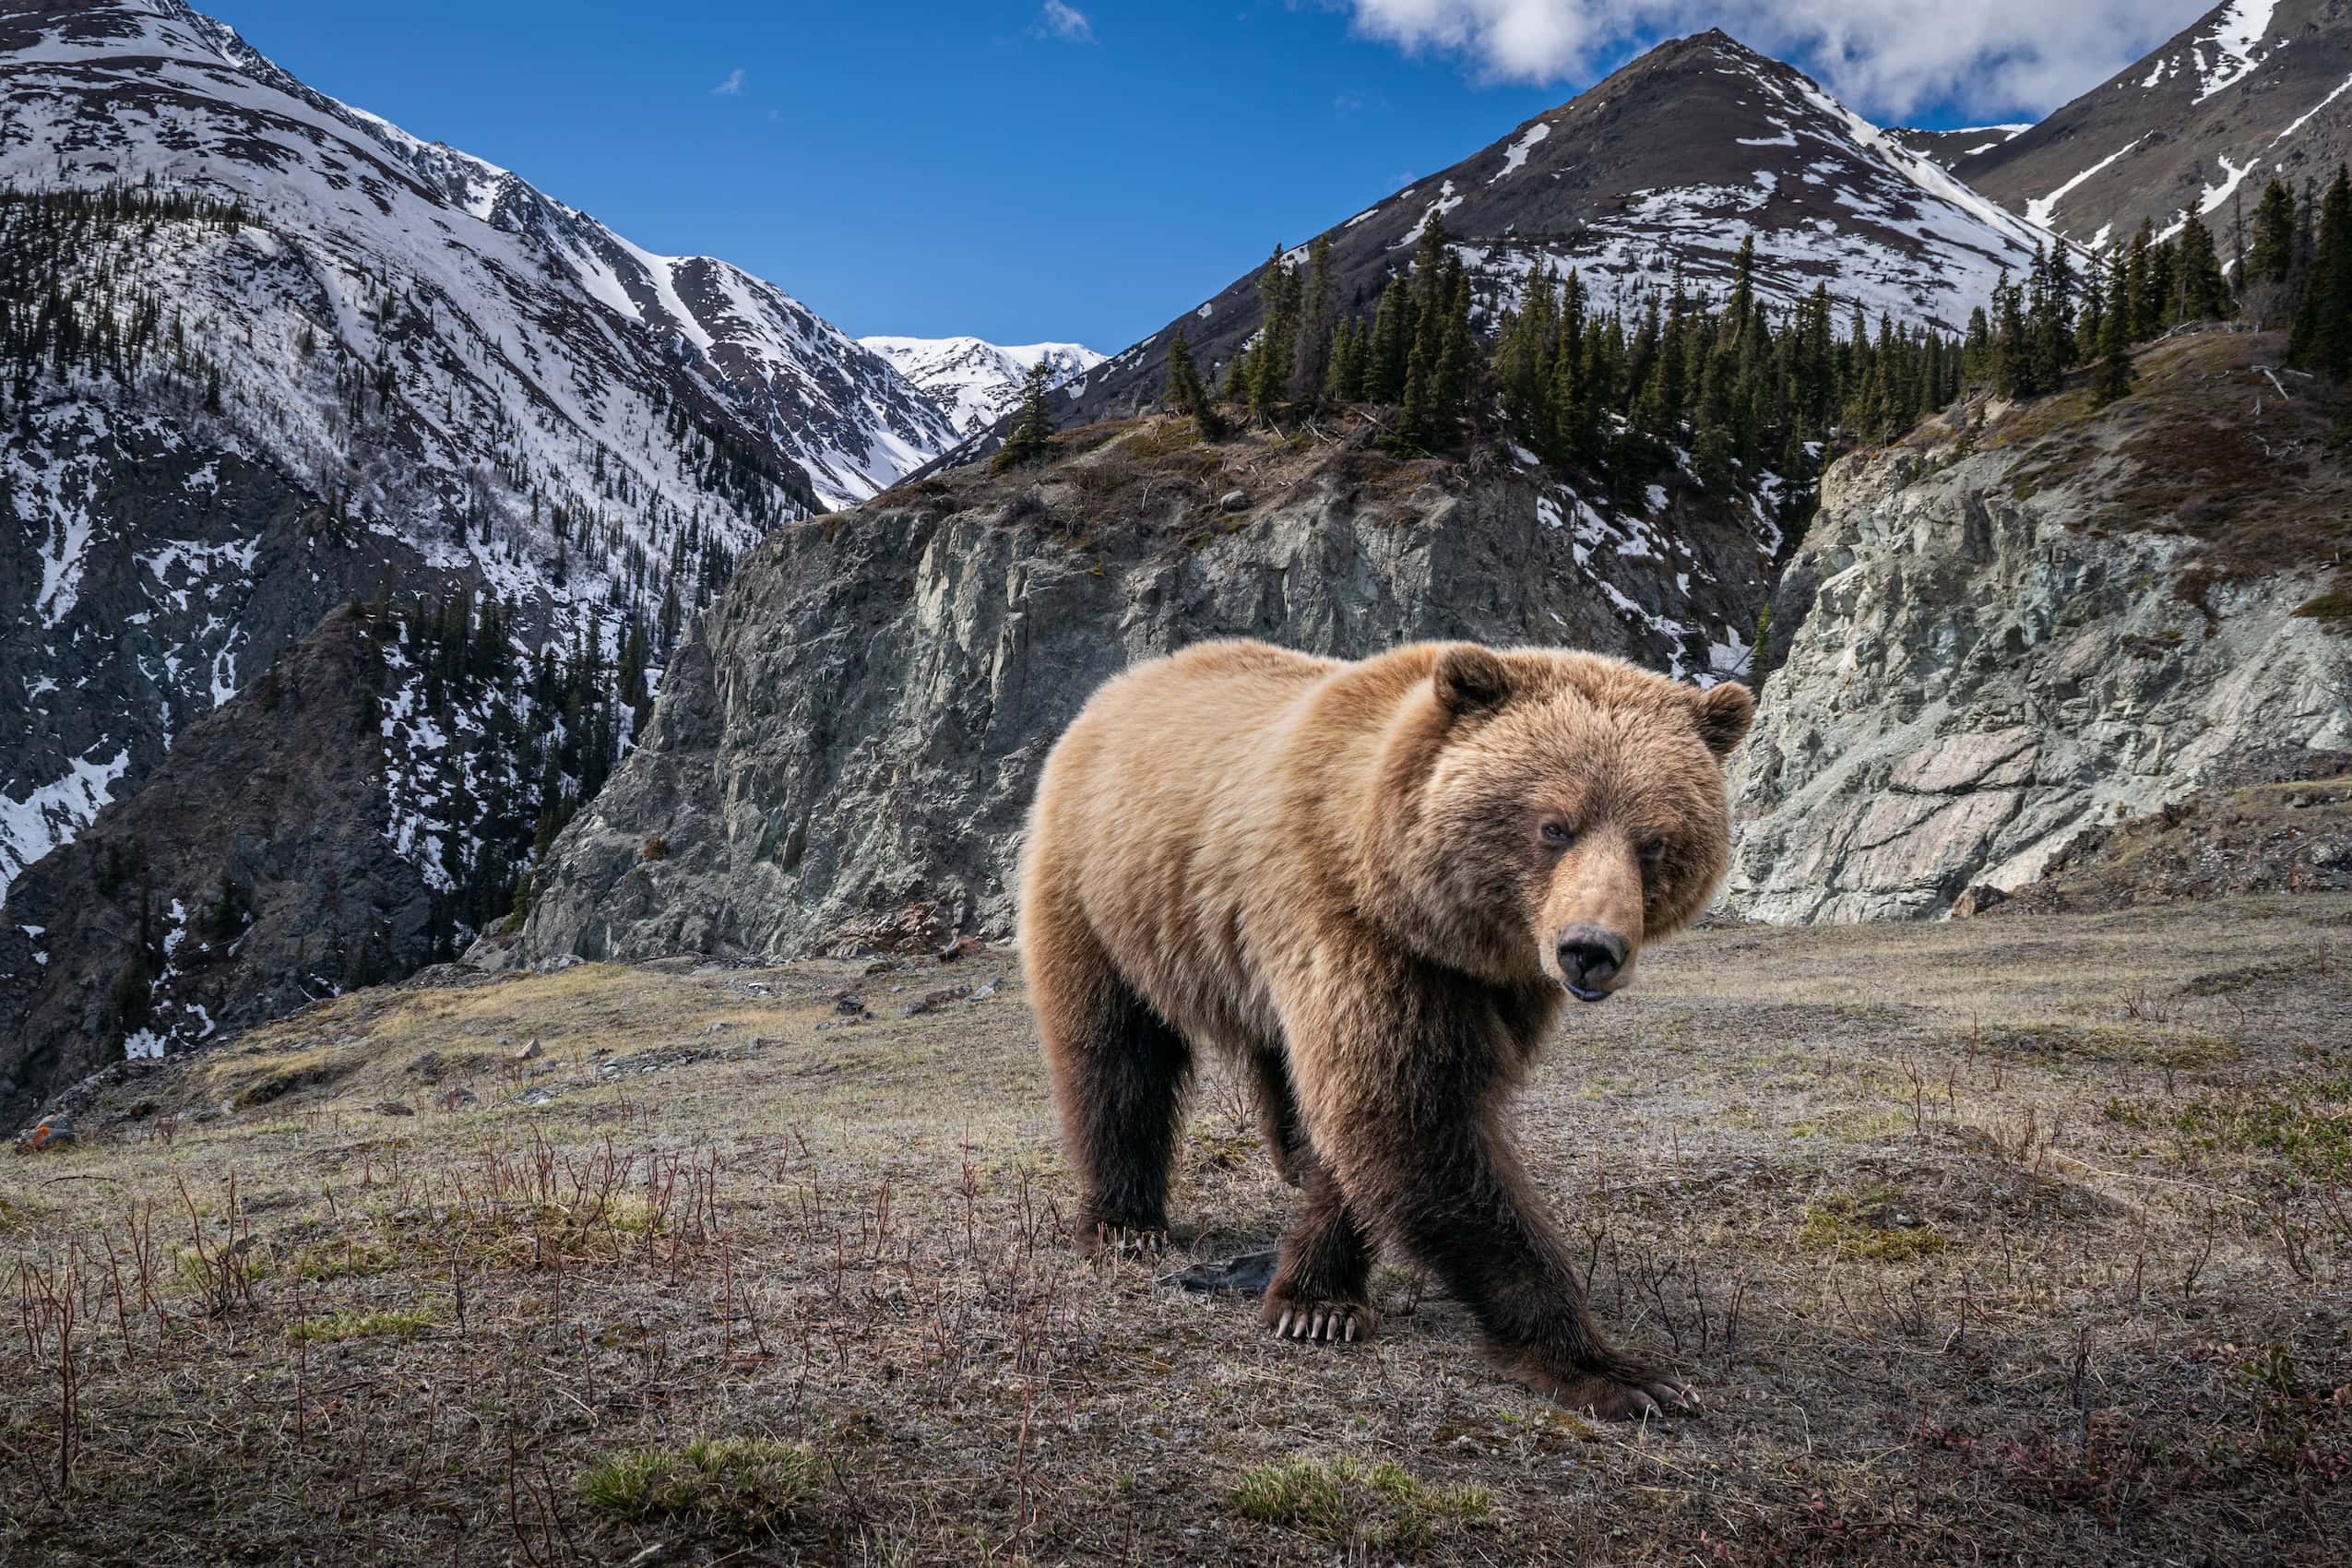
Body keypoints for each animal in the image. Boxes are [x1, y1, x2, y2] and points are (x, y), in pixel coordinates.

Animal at [1018, 638, 1754, 1419]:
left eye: (1654, 841)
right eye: (1555, 825)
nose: (1590, 949)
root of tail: (1121, 686)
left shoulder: (1496, 987)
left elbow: (1377, 1126)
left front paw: (1318, 1294)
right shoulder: (1352, 928)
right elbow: (1409, 1118)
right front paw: (1617, 1371)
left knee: (1276, 1057)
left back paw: (1290, 1156)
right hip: (1103, 892)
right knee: (1114, 1056)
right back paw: (1125, 1224)